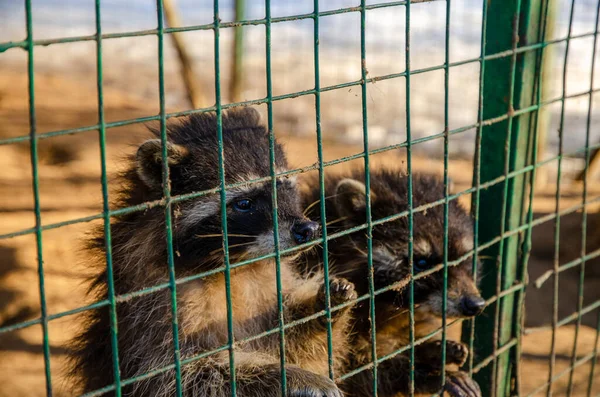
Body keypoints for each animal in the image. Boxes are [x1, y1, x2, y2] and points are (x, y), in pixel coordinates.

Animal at [71, 106, 358, 396]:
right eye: (244, 203)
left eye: (285, 186)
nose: (308, 230)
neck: (238, 265)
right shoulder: (152, 311)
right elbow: (180, 376)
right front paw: (285, 375)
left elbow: (296, 344)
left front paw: (321, 307)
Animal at [300, 169, 488, 396]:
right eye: (422, 263)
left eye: (464, 257)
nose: (475, 304)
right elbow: (359, 371)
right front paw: (418, 372)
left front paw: (427, 350)